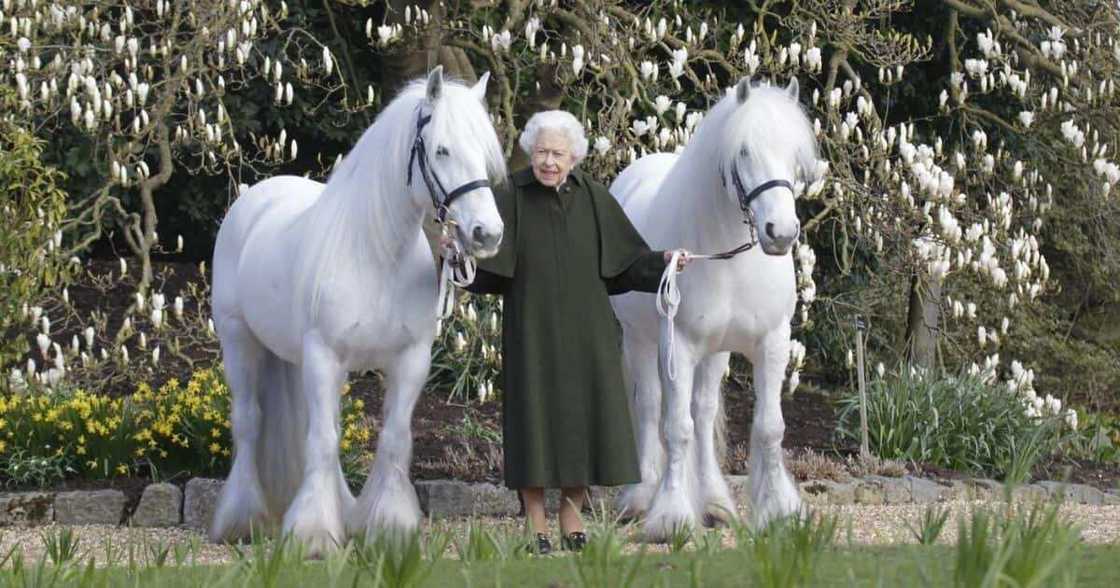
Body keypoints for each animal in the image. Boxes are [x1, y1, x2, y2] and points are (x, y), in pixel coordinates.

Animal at [208, 67, 506, 554]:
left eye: (484, 153)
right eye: (442, 149)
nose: (487, 233)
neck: (376, 254)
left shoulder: (410, 361)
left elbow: (392, 439)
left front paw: (388, 526)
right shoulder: (324, 356)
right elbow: (323, 442)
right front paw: (312, 535)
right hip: (240, 342)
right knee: (249, 423)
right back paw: (243, 520)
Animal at [609, 77, 820, 540]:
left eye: (794, 154)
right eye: (743, 152)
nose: (781, 232)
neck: (729, 257)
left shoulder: (772, 342)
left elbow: (768, 427)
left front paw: (779, 510)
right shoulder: (679, 346)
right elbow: (676, 427)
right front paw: (670, 516)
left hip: (716, 351)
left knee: (703, 413)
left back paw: (715, 503)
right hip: (639, 340)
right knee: (651, 408)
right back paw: (641, 497)